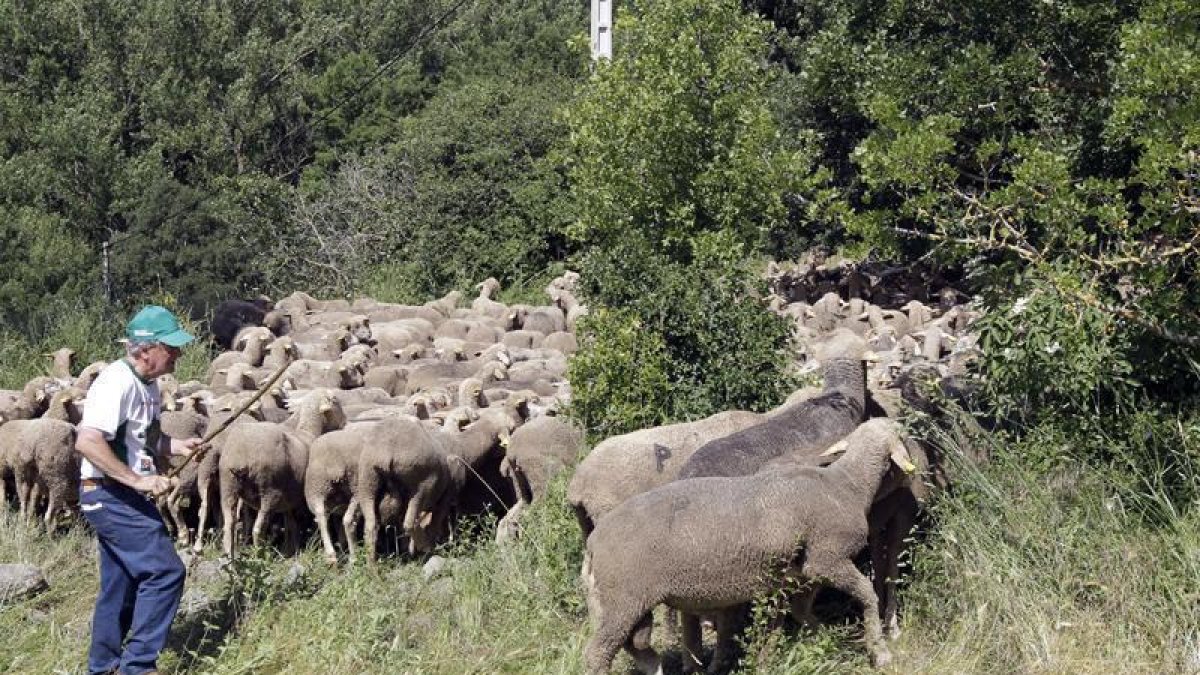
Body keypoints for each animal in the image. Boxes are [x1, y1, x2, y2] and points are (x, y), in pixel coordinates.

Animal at [218, 388, 347, 557]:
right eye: (335, 400)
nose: (345, 421)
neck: (309, 432)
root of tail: (242, 454)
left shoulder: (290, 499)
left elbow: (290, 523)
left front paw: (289, 550)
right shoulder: (299, 499)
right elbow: (297, 524)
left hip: (228, 485)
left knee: (229, 525)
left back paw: (230, 558)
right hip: (269, 490)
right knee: (258, 528)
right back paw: (260, 555)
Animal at [581, 418, 916, 674]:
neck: (847, 483)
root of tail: (593, 543)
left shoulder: (798, 575)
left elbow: (793, 615)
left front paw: (823, 644)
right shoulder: (828, 557)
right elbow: (868, 595)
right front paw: (879, 652)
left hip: (624, 601)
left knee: (639, 649)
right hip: (623, 598)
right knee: (598, 654)